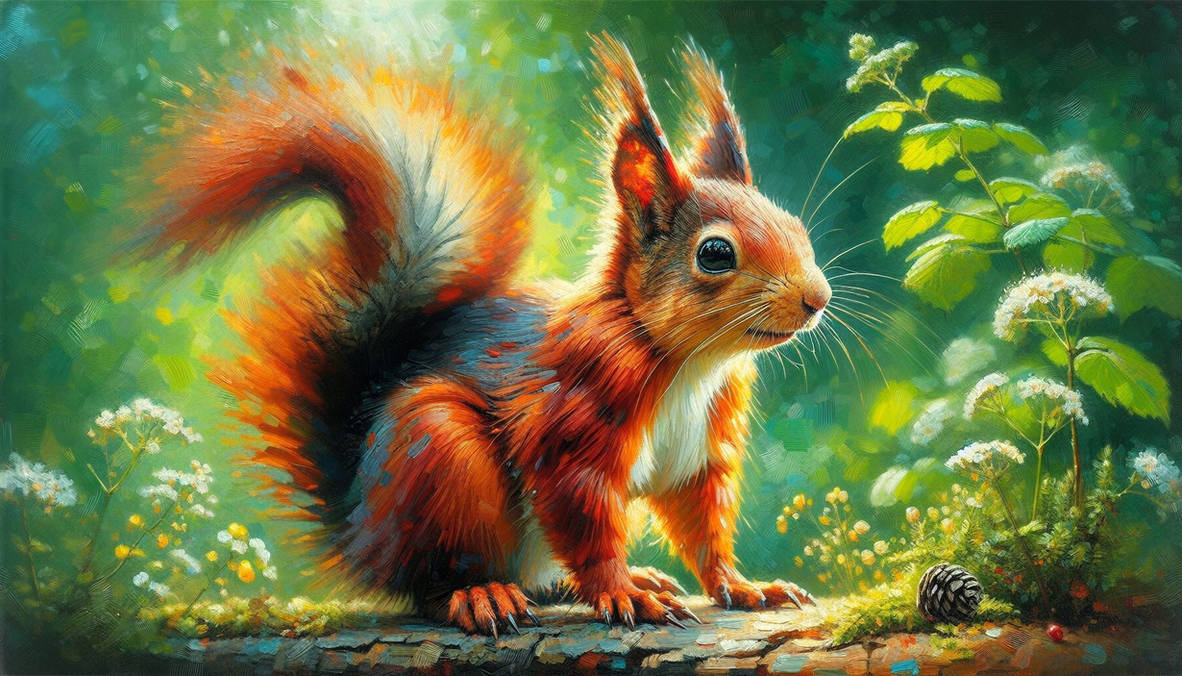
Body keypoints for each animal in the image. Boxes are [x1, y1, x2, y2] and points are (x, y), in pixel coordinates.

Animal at [143, 34, 830, 635]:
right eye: (715, 253)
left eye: (796, 228)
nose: (816, 299)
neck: (687, 361)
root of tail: (358, 535)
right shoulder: (573, 417)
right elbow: (582, 513)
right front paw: (620, 591)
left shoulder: (702, 449)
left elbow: (702, 522)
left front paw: (741, 586)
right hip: (441, 456)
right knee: (432, 584)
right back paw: (479, 594)